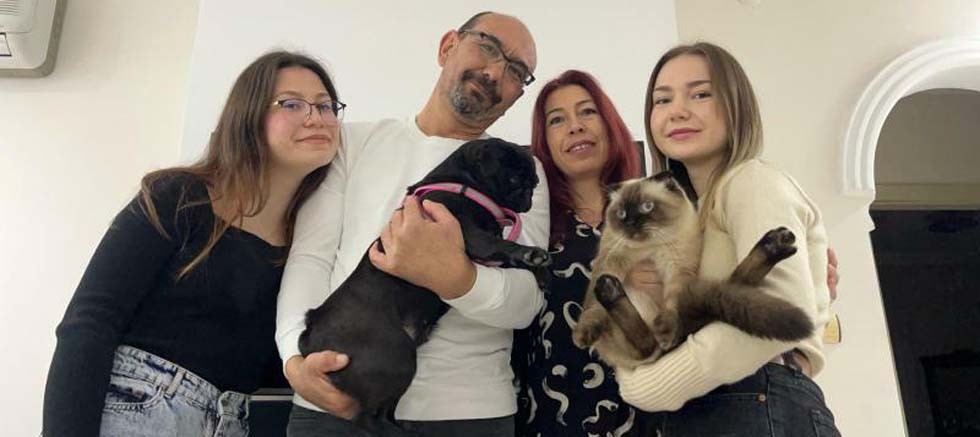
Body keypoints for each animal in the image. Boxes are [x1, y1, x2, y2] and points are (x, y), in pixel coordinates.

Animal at [571, 171, 813, 369]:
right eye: (621, 213)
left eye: (647, 207)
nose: (631, 224)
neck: (651, 247)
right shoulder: (609, 264)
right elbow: (592, 309)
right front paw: (582, 335)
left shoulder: (678, 271)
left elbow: (670, 306)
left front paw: (667, 328)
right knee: (646, 345)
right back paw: (610, 290)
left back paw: (776, 243)